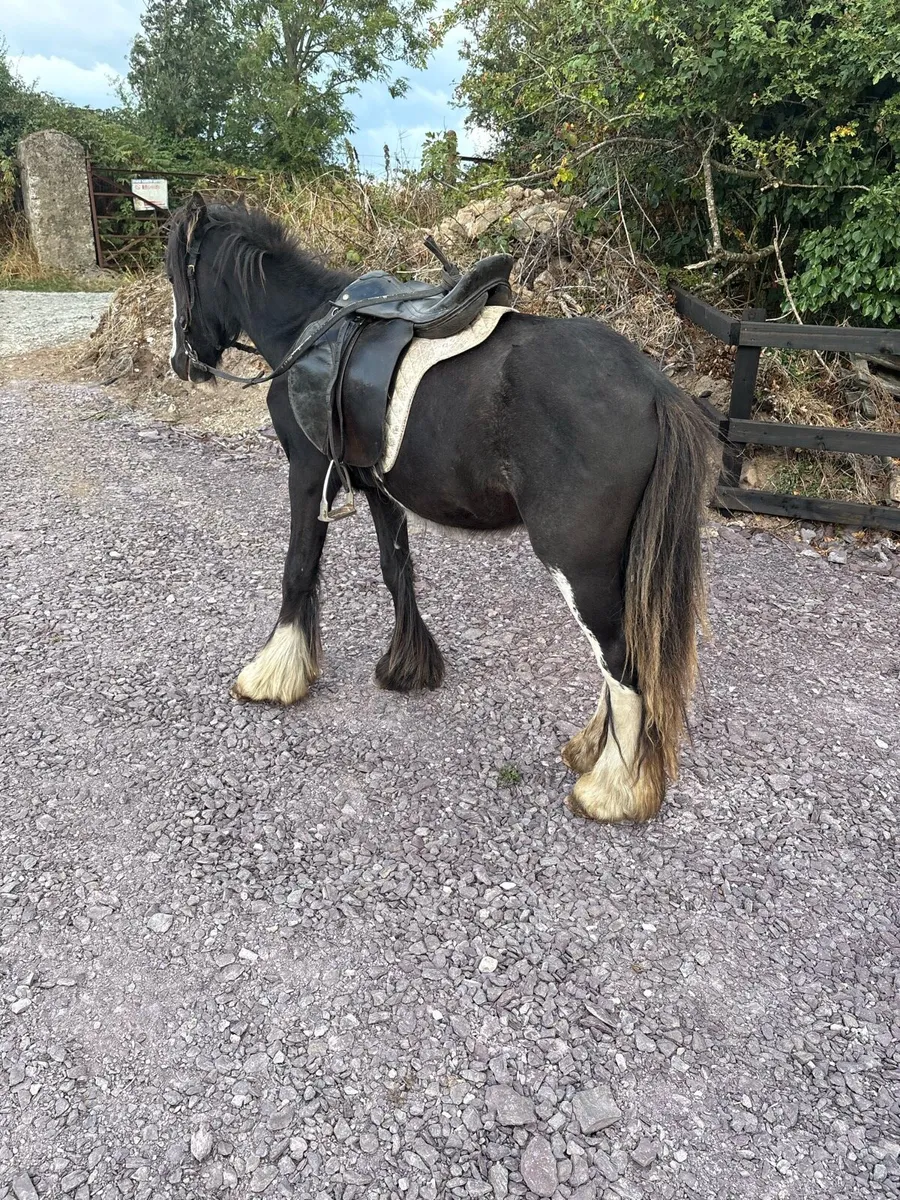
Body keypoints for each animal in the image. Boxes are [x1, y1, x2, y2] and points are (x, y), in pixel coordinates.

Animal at [165, 194, 713, 822]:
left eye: (179, 275)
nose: (180, 362)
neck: (307, 329)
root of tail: (654, 387)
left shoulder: (305, 473)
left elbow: (298, 568)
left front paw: (272, 675)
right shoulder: (377, 488)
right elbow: (395, 569)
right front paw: (408, 666)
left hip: (578, 562)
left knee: (620, 658)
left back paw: (612, 788)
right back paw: (592, 753)